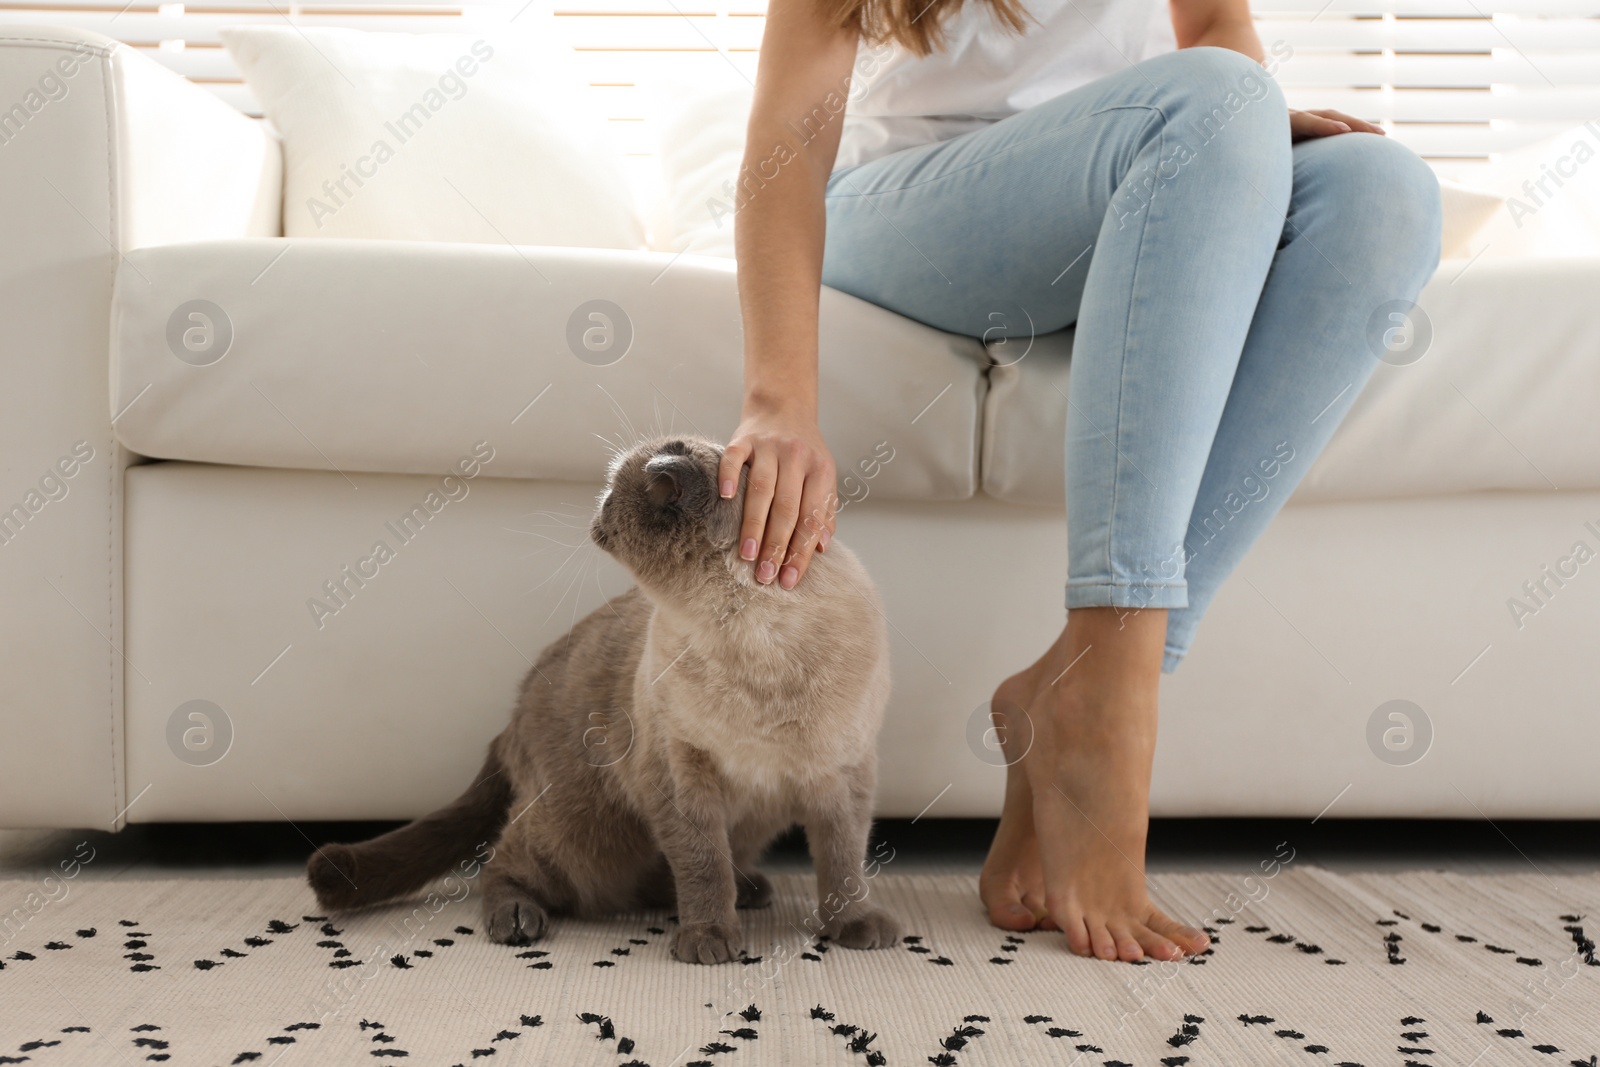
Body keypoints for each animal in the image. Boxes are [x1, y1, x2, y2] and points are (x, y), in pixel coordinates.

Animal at [302, 438, 902, 966]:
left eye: (613, 491)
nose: (598, 500)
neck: (753, 638)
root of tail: (512, 714)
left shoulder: (843, 774)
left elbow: (843, 865)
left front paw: (853, 928)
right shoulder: (680, 772)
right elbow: (704, 865)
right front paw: (709, 939)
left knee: (655, 878)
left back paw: (751, 888)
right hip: (578, 831)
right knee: (504, 864)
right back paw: (518, 919)